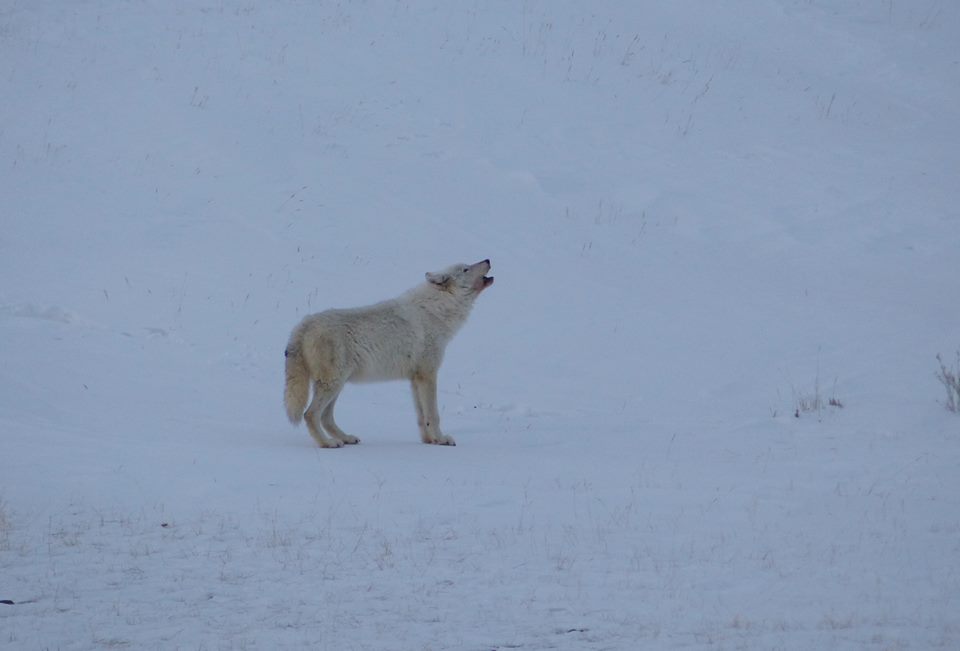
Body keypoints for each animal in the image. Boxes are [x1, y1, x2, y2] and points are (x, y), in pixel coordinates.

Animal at [284, 259, 493, 447]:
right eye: (466, 269)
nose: (488, 259)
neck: (437, 310)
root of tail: (303, 324)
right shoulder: (428, 374)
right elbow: (433, 415)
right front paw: (441, 440)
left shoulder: (415, 378)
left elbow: (422, 417)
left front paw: (429, 441)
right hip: (332, 384)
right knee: (310, 414)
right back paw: (327, 443)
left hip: (338, 385)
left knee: (326, 418)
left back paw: (346, 438)